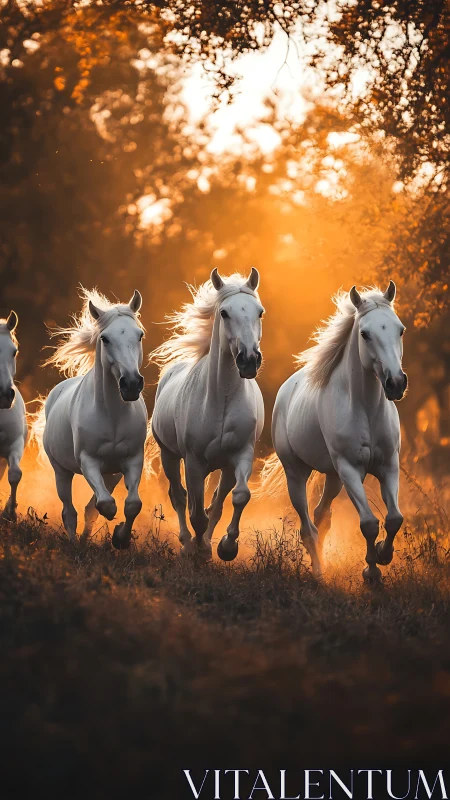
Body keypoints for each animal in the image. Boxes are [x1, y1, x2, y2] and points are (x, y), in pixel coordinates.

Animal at [38, 288, 147, 548]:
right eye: (105, 339)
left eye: (139, 335)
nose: (131, 384)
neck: (113, 416)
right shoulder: (88, 461)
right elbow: (105, 504)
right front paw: (113, 524)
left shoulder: (132, 460)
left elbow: (132, 504)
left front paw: (120, 538)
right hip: (61, 472)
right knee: (69, 511)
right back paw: (74, 544)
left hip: (112, 474)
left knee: (89, 509)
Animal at [147, 268, 264, 560]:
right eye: (224, 313)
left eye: (259, 312)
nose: (249, 360)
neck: (221, 399)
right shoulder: (193, 461)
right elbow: (196, 513)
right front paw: (197, 549)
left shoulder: (240, 455)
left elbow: (237, 497)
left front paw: (226, 546)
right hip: (169, 455)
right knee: (179, 498)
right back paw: (187, 542)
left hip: (221, 466)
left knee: (215, 502)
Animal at [260, 281, 407, 582]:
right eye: (365, 334)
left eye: (400, 329)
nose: (396, 383)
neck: (364, 408)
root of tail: (286, 389)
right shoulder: (350, 468)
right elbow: (369, 523)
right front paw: (371, 572)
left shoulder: (388, 465)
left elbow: (394, 518)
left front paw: (383, 555)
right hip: (298, 473)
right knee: (308, 525)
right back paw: (318, 572)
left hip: (333, 477)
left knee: (320, 516)